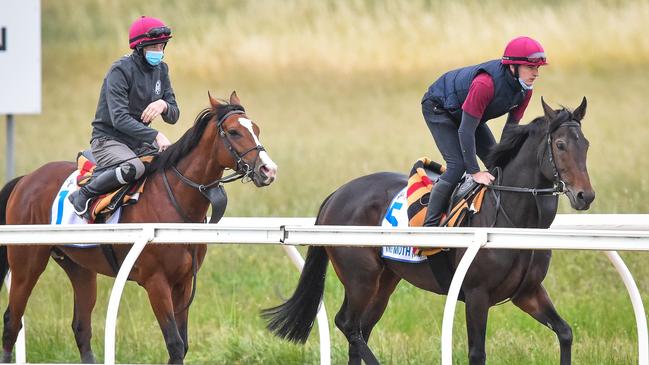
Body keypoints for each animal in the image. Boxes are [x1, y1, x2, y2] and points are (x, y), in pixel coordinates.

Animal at [0, 90, 276, 362]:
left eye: (256, 129)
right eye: (234, 132)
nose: (268, 170)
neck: (174, 202)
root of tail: (25, 179)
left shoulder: (184, 282)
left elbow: (183, 344)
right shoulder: (156, 282)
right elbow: (175, 344)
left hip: (80, 268)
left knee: (81, 327)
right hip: (27, 263)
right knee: (12, 321)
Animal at [262, 97, 592, 364]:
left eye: (586, 145)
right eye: (561, 145)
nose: (585, 196)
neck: (510, 220)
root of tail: (337, 193)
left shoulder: (528, 292)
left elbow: (565, 332)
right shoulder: (477, 294)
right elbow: (477, 353)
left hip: (385, 281)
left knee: (360, 331)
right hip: (360, 277)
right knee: (348, 324)